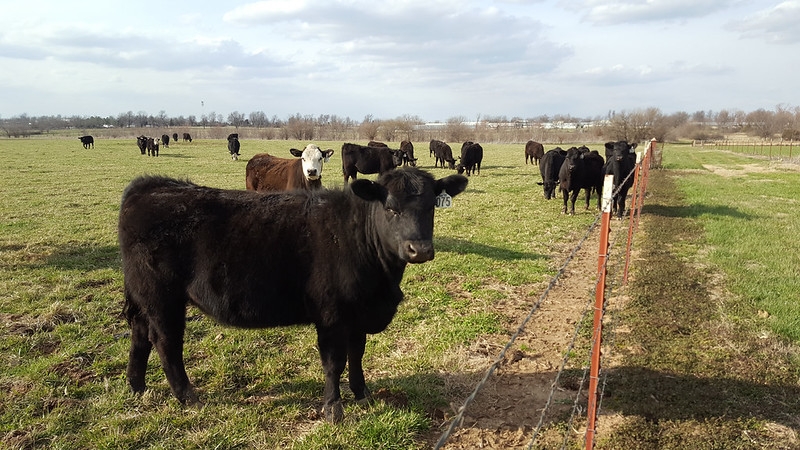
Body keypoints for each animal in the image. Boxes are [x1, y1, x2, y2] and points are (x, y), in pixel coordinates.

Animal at [118, 167, 469, 423]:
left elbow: (357, 354)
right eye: (391, 208)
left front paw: (363, 393)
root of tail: (149, 186)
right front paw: (333, 410)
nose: (420, 250)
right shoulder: (331, 315)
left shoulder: (357, 313)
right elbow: (334, 362)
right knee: (165, 343)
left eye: (431, 207)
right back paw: (188, 397)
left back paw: (137, 386)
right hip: (162, 299)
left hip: (144, 299)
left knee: (139, 334)